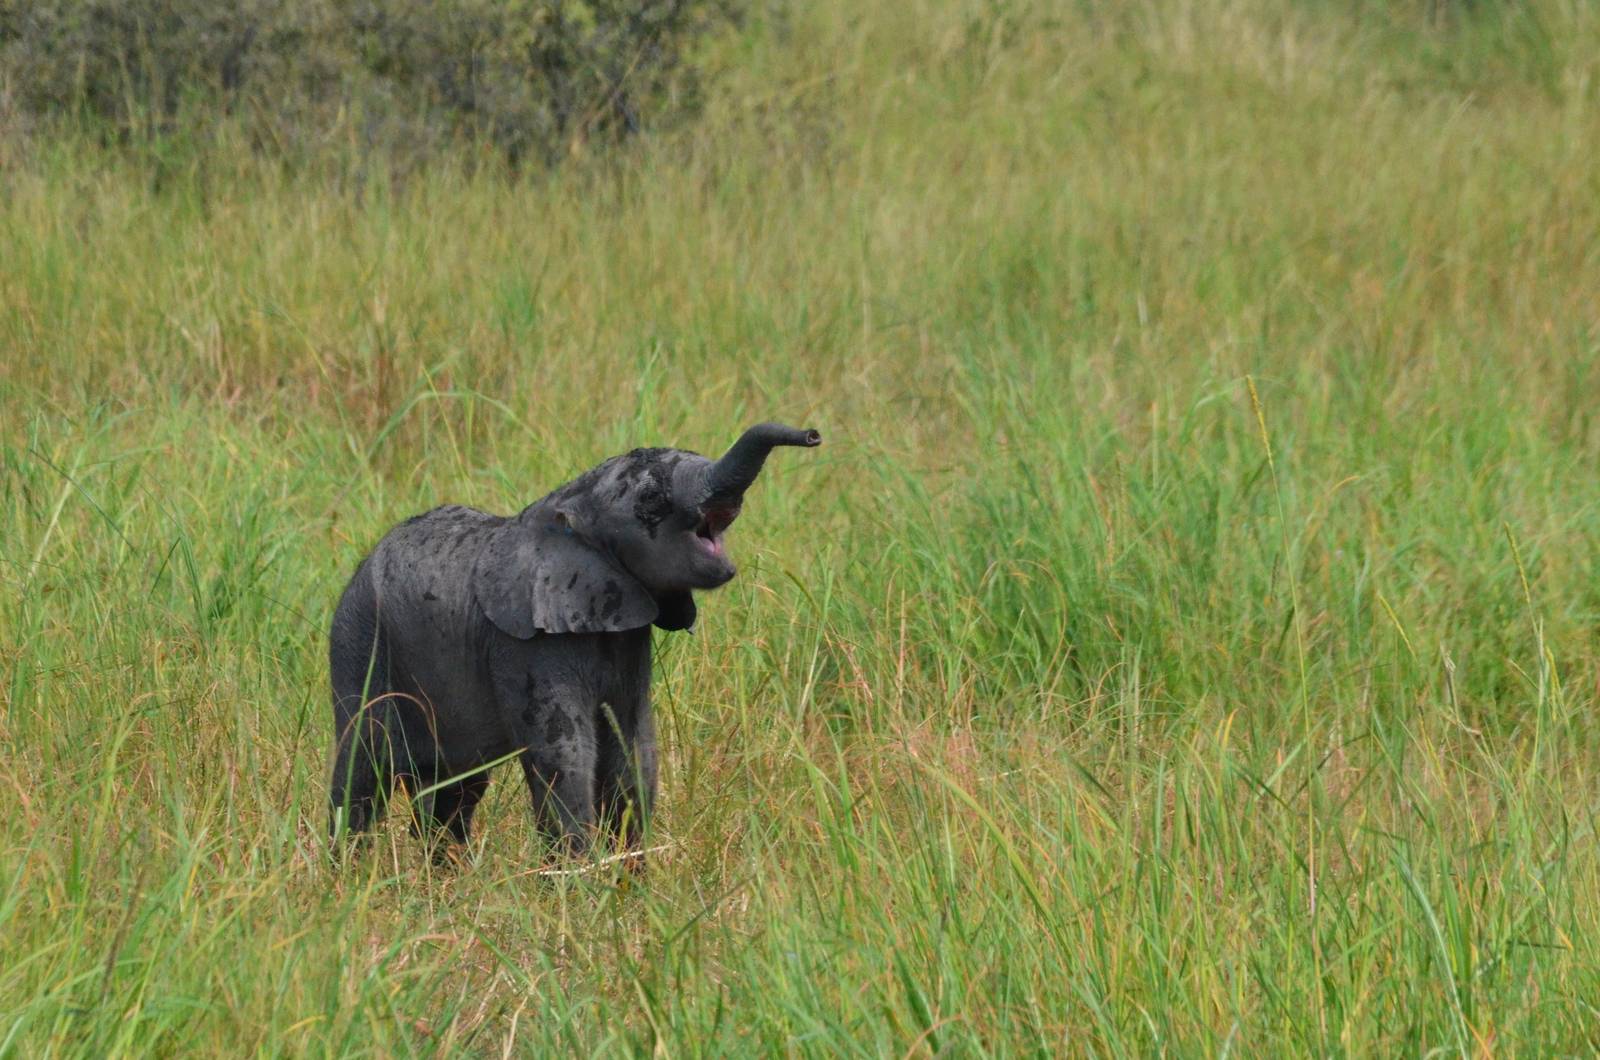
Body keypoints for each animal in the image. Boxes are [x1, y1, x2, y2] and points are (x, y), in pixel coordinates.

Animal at [327, 422, 821, 864]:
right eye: (651, 500)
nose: (813, 435)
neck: (571, 503)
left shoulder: (625, 636)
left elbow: (633, 749)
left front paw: (630, 883)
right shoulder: (525, 647)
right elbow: (565, 751)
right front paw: (576, 886)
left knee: (454, 790)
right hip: (360, 640)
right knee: (364, 766)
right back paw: (346, 877)